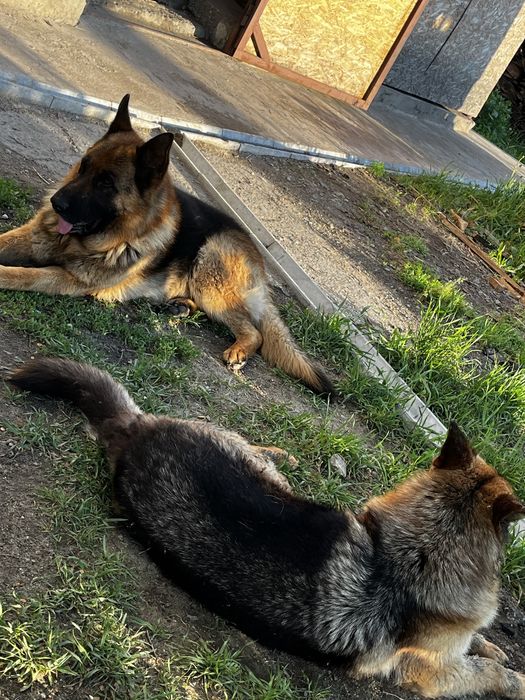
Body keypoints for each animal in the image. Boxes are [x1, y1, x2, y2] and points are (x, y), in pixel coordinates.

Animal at [0, 95, 332, 396]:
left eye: (106, 183)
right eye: (83, 166)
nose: (56, 203)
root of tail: (254, 250)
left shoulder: (69, 279)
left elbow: (24, 275)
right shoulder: (31, 238)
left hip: (209, 269)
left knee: (254, 331)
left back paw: (238, 349)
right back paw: (180, 306)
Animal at [9, 356, 525, 699]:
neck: (409, 554)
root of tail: (136, 433)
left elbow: (478, 646)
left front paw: (492, 647)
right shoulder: (433, 673)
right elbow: (481, 672)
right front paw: (512, 677)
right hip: (246, 460)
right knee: (257, 448)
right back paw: (282, 454)